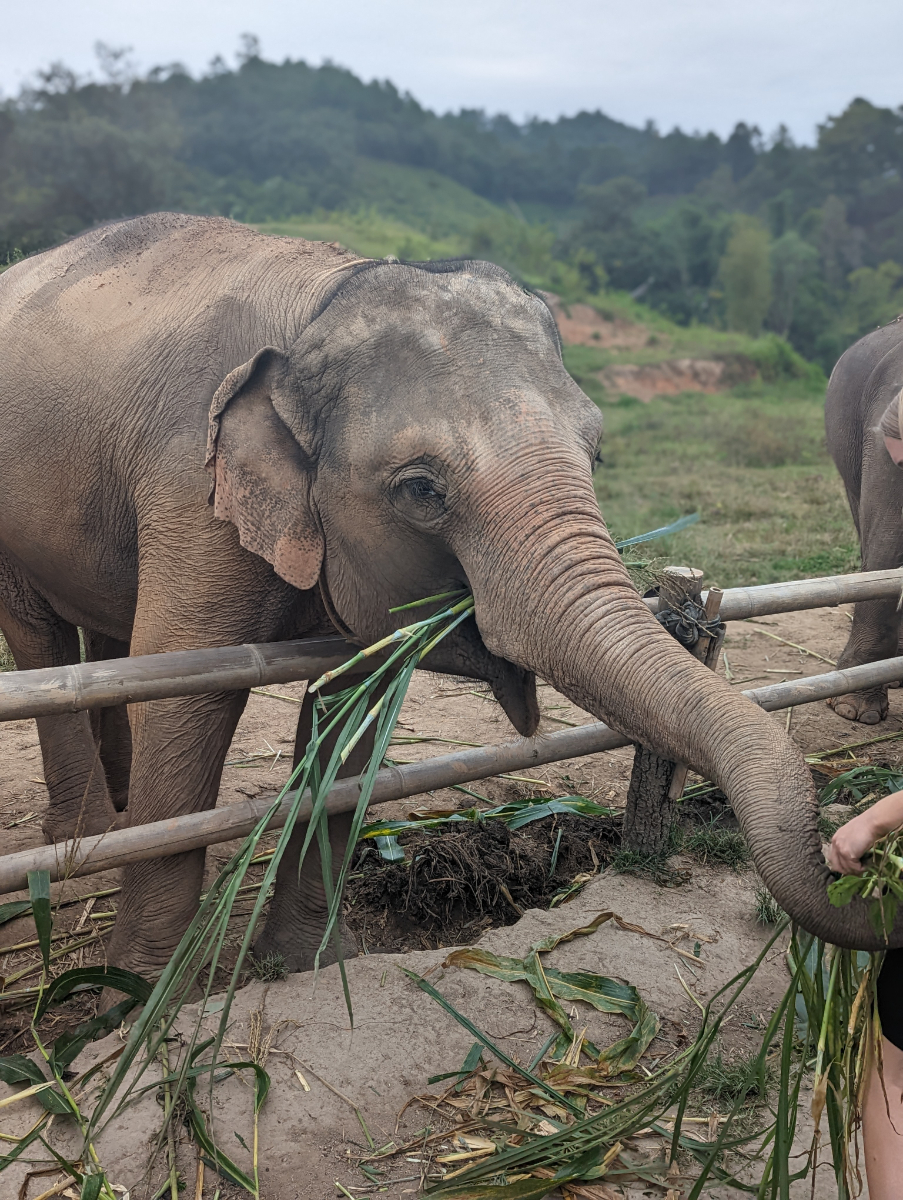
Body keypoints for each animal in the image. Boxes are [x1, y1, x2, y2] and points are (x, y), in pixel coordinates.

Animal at [0, 213, 888, 984]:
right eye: (421, 489)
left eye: (597, 452)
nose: (860, 865)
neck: (325, 297)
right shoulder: (193, 481)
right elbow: (186, 688)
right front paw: (138, 998)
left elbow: (354, 703)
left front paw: (311, 967)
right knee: (45, 642)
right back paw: (87, 839)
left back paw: (117, 812)